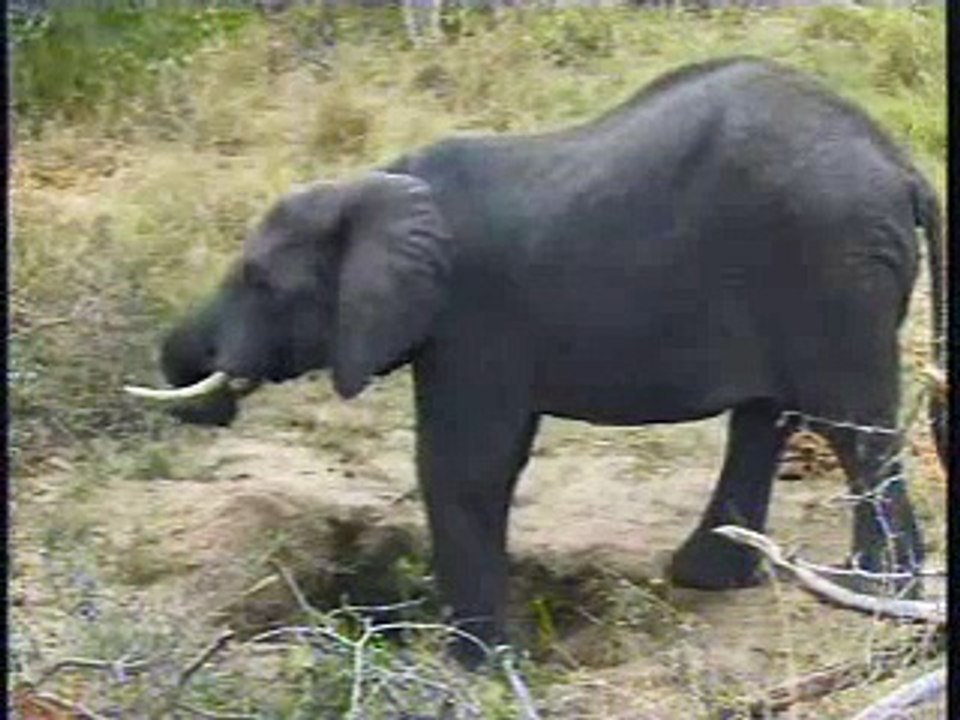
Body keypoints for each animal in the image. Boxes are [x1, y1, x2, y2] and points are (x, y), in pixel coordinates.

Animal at [128, 57, 946, 664]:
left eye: (260, 281)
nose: (207, 390)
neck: (374, 183)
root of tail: (899, 164)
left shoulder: (470, 317)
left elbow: (463, 466)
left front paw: (477, 665)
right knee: (768, 419)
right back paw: (709, 580)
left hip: (832, 265)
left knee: (850, 424)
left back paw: (873, 590)